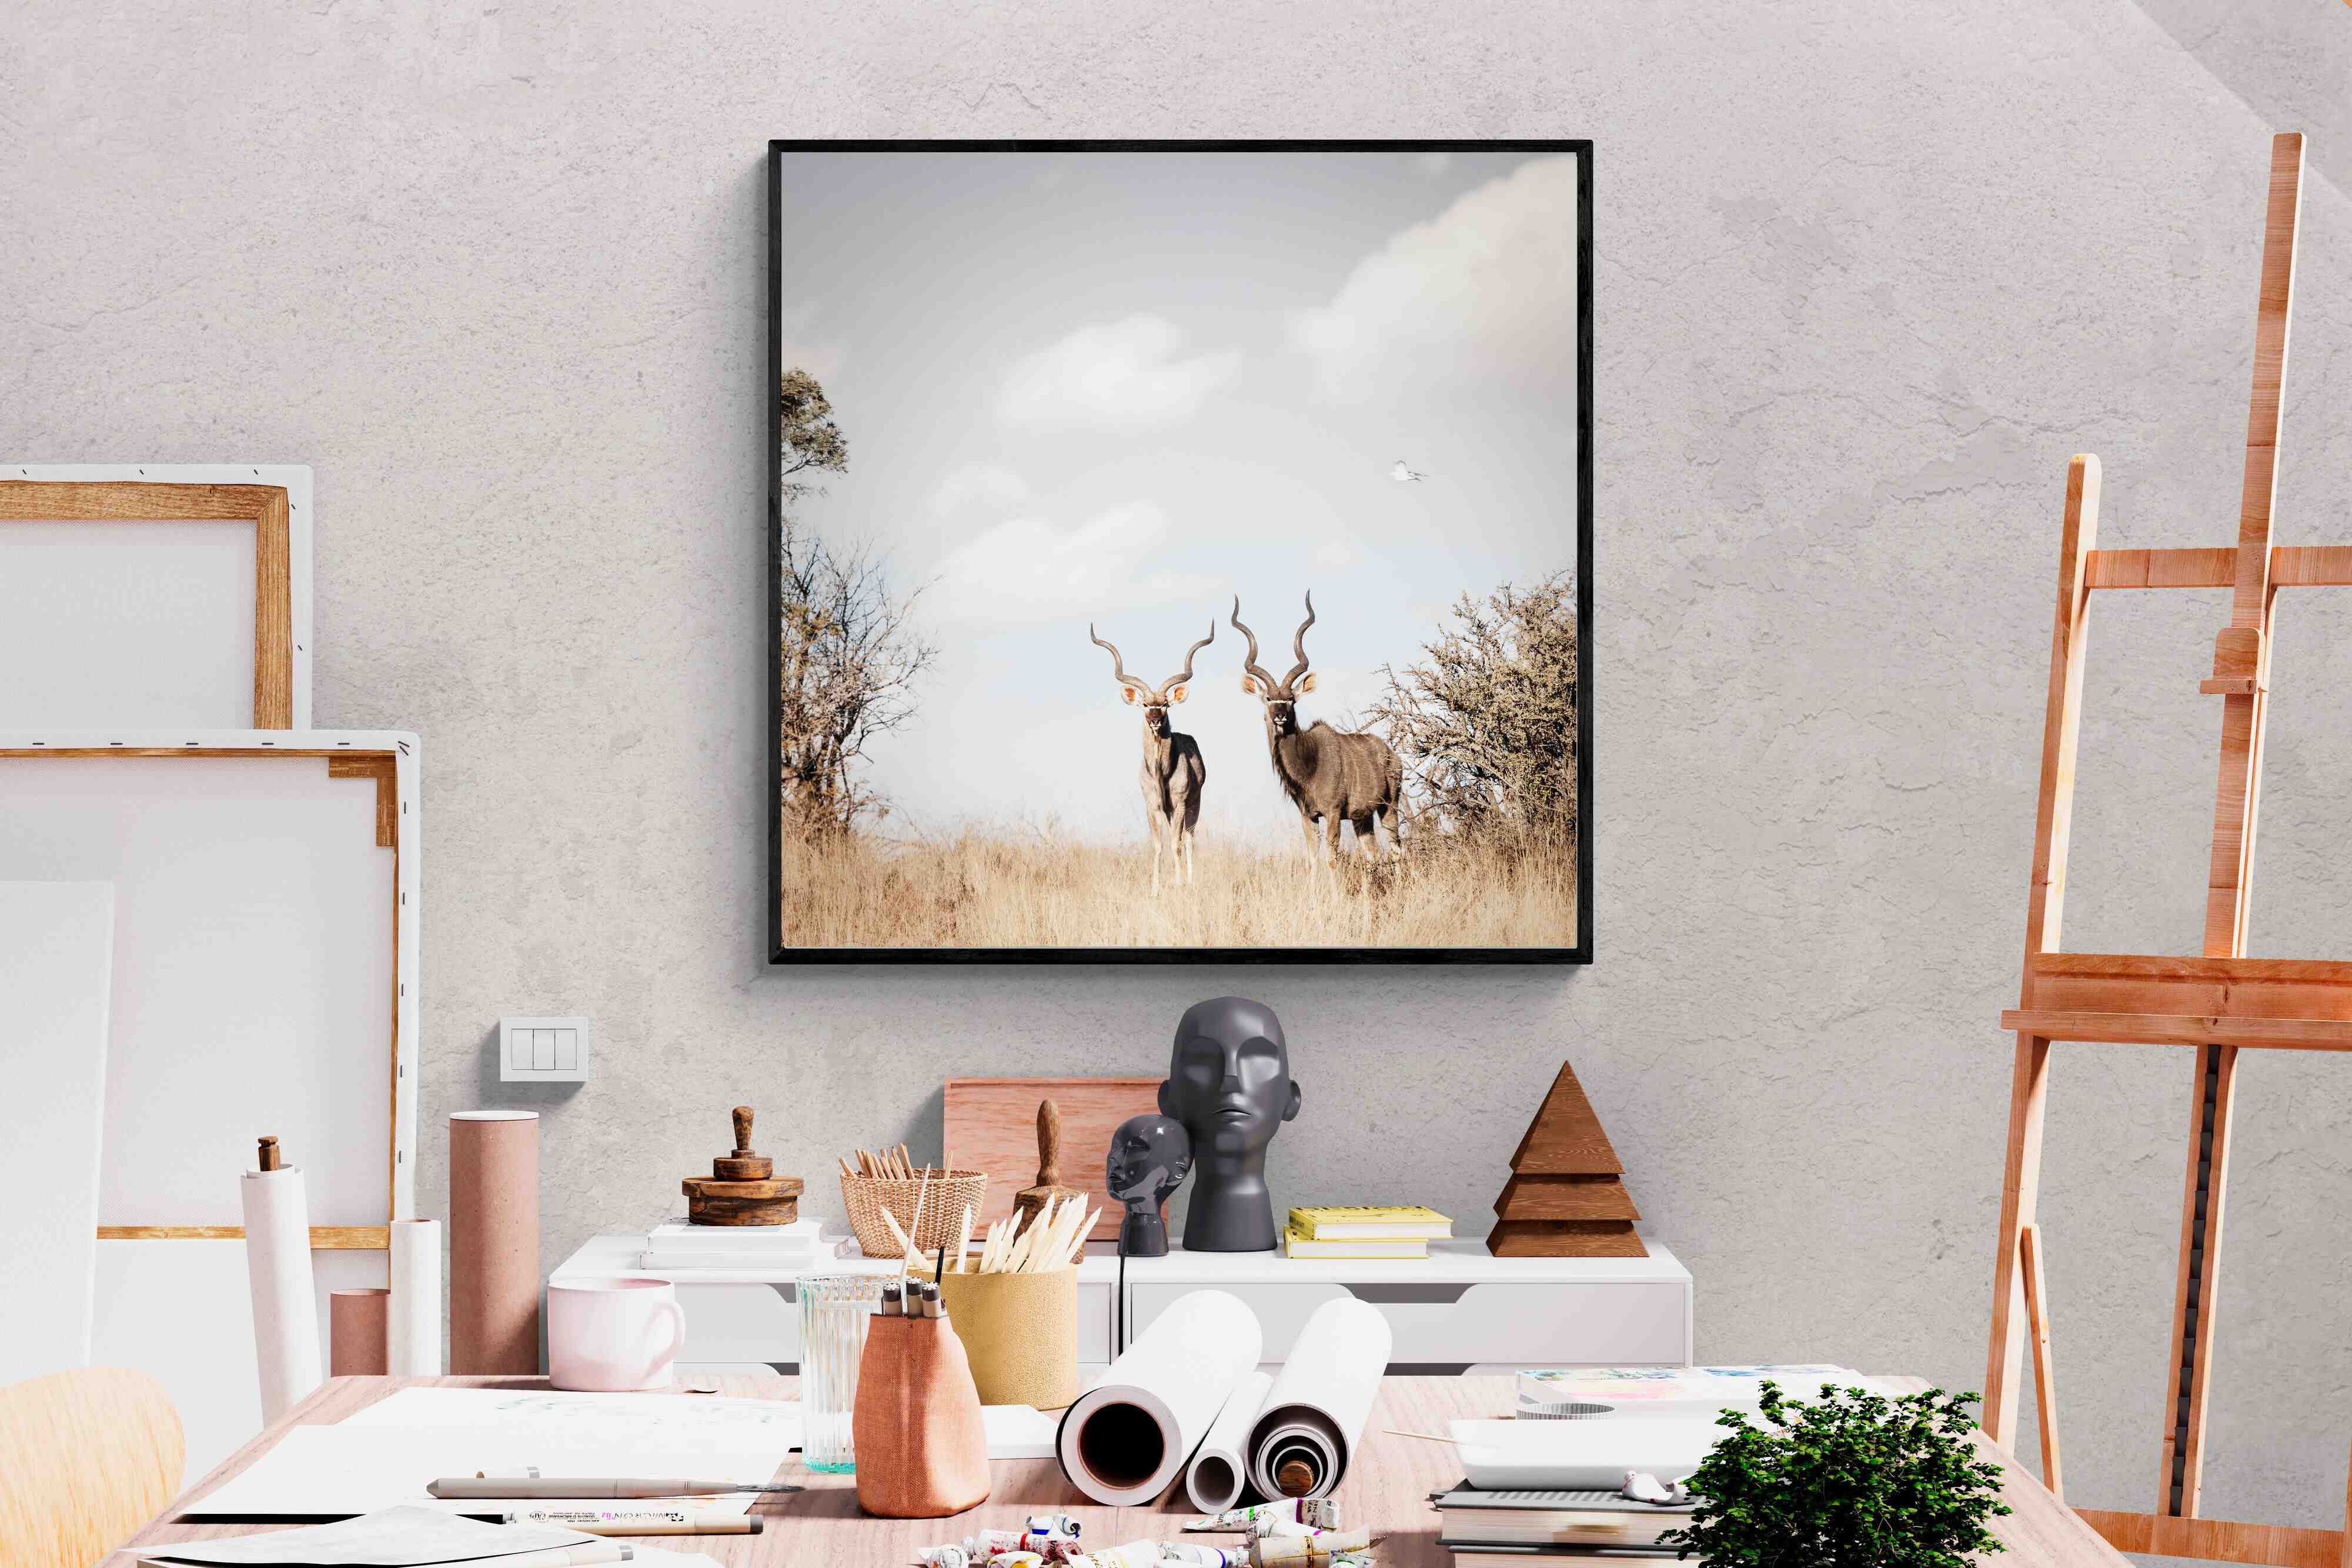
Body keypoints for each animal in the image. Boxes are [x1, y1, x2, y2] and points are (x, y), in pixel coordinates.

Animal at [1089, 620, 1215, 896]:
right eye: (1146, 705)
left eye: (1165, 704)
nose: (1156, 720)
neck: (1161, 772)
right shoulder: (1153, 806)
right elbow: (1158, 846)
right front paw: (1155, 890)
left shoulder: (1179, 804)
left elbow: (1176, 844)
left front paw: (1178, 885)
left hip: (1194, 805)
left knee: (1189, 840)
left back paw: (1190, 882)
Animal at [1231, 592, 1403, 885]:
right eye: (1269, 698)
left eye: (1291, 698)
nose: (1280, 716)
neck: (1309, 765)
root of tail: (1393, 756)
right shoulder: (1308, 816)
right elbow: (1312, 860)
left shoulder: (1333, 813)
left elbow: (1331, 859)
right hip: (1363, 819)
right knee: (1373, 855)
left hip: (1389, 807)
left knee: (1397, 849)